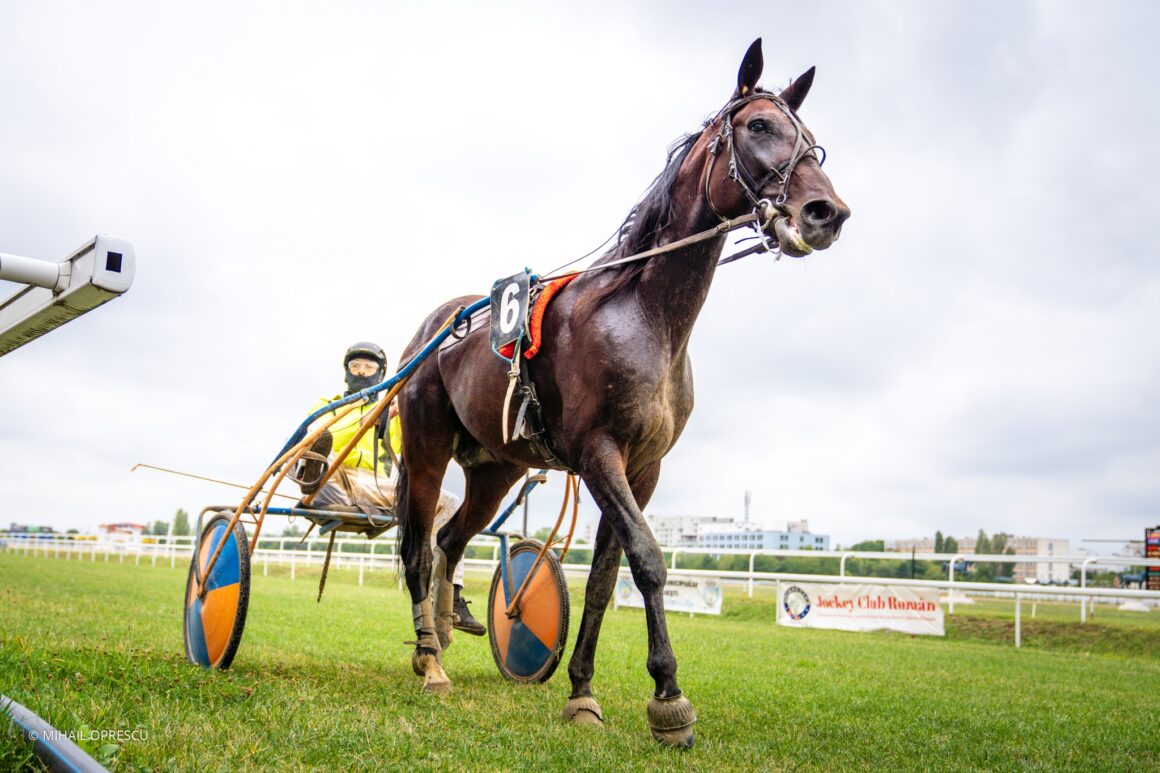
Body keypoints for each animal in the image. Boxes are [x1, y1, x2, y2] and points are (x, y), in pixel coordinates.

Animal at [394, 39, 849, 742]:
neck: (641, 314)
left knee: (448, 541)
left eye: (813, 141)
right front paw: (668, 698)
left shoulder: (644, 467)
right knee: (418, 550)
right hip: (424, 452)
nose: (827, 213)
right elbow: (649, 560)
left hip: (495, 469)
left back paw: (439, 640)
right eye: (759, 126)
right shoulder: (597, 452)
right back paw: (430, 662)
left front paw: (582, 691)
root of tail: (432, 332)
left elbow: (607, 580)